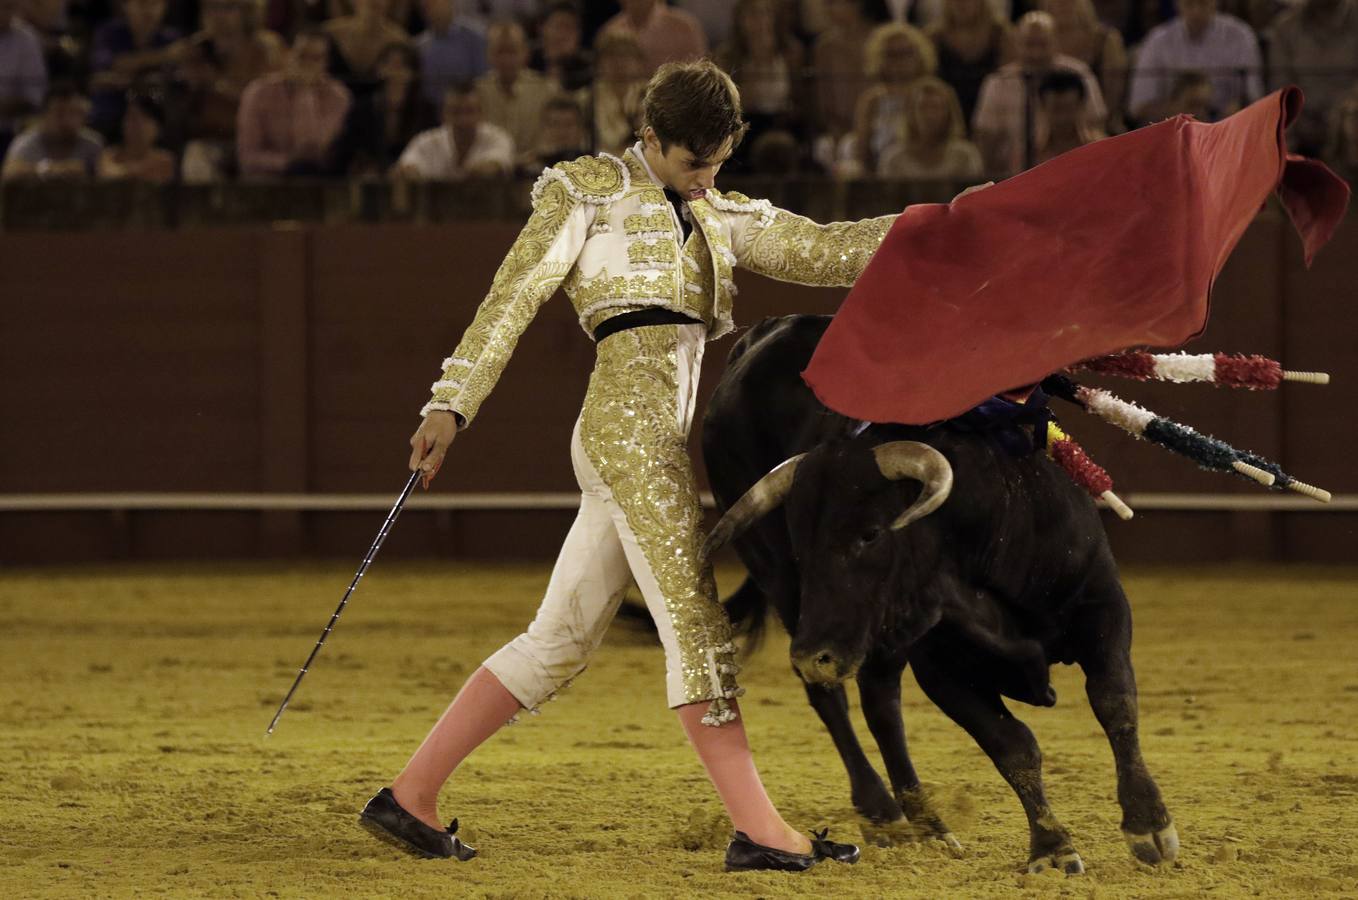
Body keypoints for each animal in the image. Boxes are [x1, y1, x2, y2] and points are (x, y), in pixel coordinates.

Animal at [700, 316, 1178, 874]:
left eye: (870, 534)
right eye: (800, 545)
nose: (814, 656)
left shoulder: (1102, 607)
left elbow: (1114, 700)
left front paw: (1147, 824)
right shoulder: (941, 666)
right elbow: (1013, 744)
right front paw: (1053, 847)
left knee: (879, 699)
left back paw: (922, 824)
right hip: (798, 596)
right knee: (843, 699)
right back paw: (887, 813)